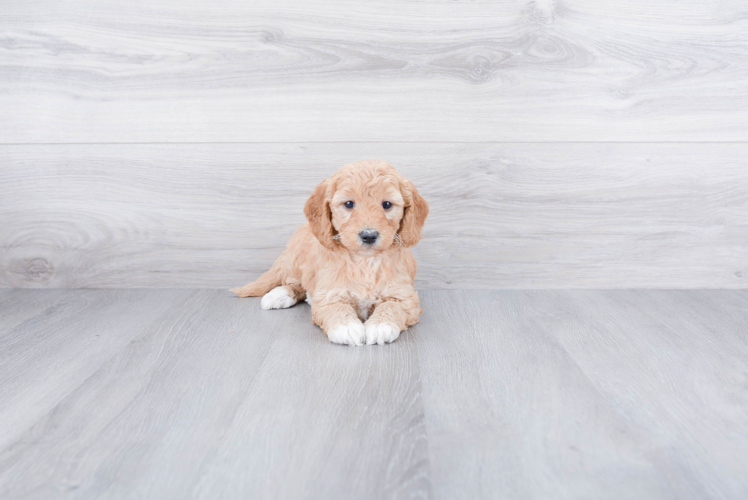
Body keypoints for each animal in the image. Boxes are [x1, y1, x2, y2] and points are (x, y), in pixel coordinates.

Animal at [231, 158, 430, 346]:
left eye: (387, 204)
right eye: (349, 204)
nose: (368, 235)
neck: (364, 262)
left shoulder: (404, 296)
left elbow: (391, 307)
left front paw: (380, 326)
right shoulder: (330, 293)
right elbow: (336, 308)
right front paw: (347, 328)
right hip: (295, 261)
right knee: (294, 283)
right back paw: (279, 294)